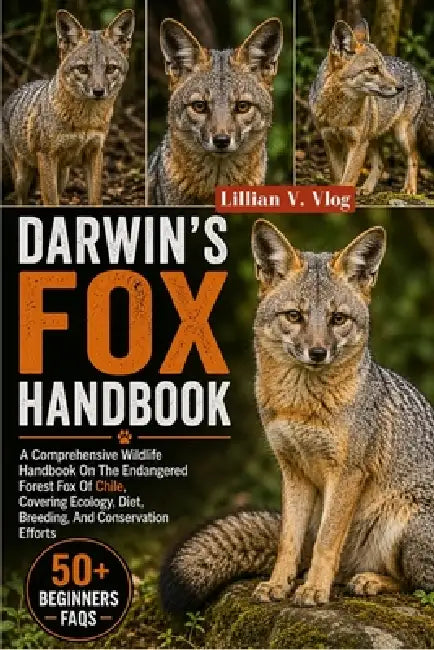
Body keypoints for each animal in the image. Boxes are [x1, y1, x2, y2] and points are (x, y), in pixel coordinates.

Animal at [2, 9, 135, 206]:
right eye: (83, 69)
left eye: (110, 68)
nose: (98, 91)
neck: (85, 121)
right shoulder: (46, 156)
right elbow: (51, 201)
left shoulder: (95, 153)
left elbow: (95, 198)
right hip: (22, 178)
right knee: (21, 199)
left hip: (63, 177)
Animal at [160, 220, 434, 613]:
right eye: (294, 316)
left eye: (337, 319)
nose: (317, 353)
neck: (301, 407)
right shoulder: (293, 471)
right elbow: (288, 541)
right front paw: (279, 585)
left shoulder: (347, 474)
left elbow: (325, 542)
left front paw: (314, 590)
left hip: (403, 529)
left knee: (419, 586)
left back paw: (367, 581)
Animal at [308, 19, 434, 195]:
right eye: (373, 69)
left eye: (384, 68)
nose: (401, 87)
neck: (339, 114)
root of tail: (418, 73)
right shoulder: (330, 141)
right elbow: (337, 178)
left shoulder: (357, 144)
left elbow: (348, 179)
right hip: (372, 139)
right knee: (382, 163)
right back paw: (367, 188)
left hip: (401, 135)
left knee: (414, 158)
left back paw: (409, 189)